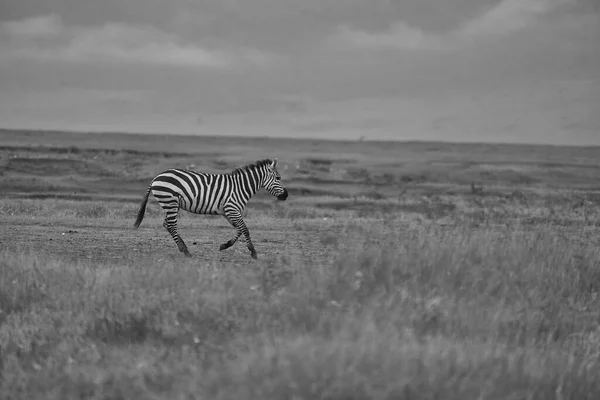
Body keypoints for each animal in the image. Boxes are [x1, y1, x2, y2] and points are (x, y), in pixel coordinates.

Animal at [132, 159, 290, 260]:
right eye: (278, 177)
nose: (286, 195)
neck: (240, 187)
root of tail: (156, 177)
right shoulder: (232, 208)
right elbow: (245, 229)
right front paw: (253, 252)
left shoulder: (228, 212)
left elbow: (239, 229)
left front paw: (225, 245)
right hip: (170, 202)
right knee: (171, 225)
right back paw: (186, 251)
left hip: (171, 204)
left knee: (167, 224)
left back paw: (184, 248)